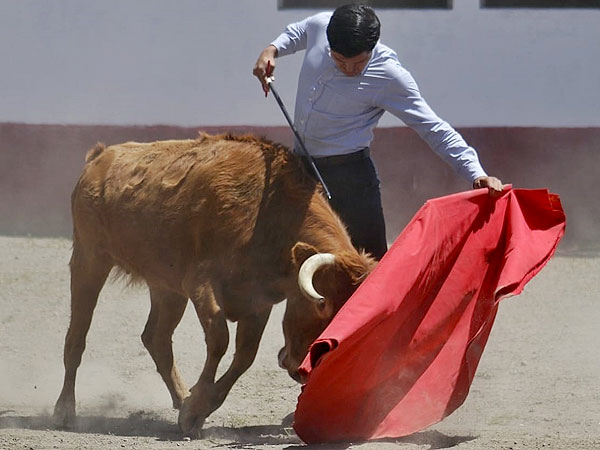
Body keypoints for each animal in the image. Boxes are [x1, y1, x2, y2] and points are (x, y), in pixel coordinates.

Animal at [56, 133, 376, 436]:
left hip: (166, 288)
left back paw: (180, 397)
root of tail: (99, 156)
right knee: (77, 337)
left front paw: (195, 408)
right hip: (89, 260)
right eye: (322, 306)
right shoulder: (202, 284)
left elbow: (245, 355)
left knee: (157, 338)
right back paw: (65, 410)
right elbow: (219, 340)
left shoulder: (258, 302)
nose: (301, 370)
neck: (267, 217)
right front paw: (195, 410)